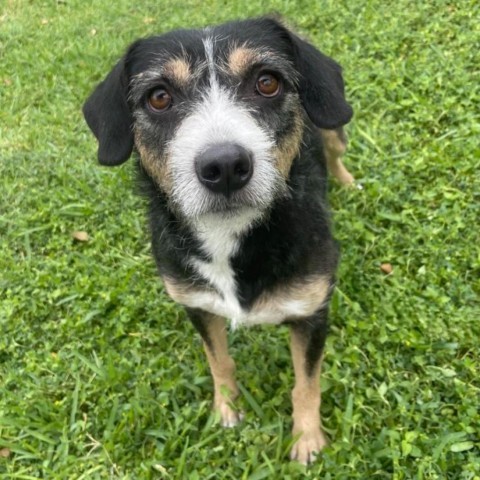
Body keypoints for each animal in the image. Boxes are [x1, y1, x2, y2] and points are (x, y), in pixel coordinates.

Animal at [82, 16, 352, 464]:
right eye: (159, 97)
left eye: (267, 82)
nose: (224, 165)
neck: (231, 237)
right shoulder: (197, 304)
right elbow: (219, 361)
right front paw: (226, 409)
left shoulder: (312, 312)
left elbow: (306, 384)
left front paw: (308, 439)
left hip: (333, 120)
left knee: (335, 148)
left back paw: (348, 183)